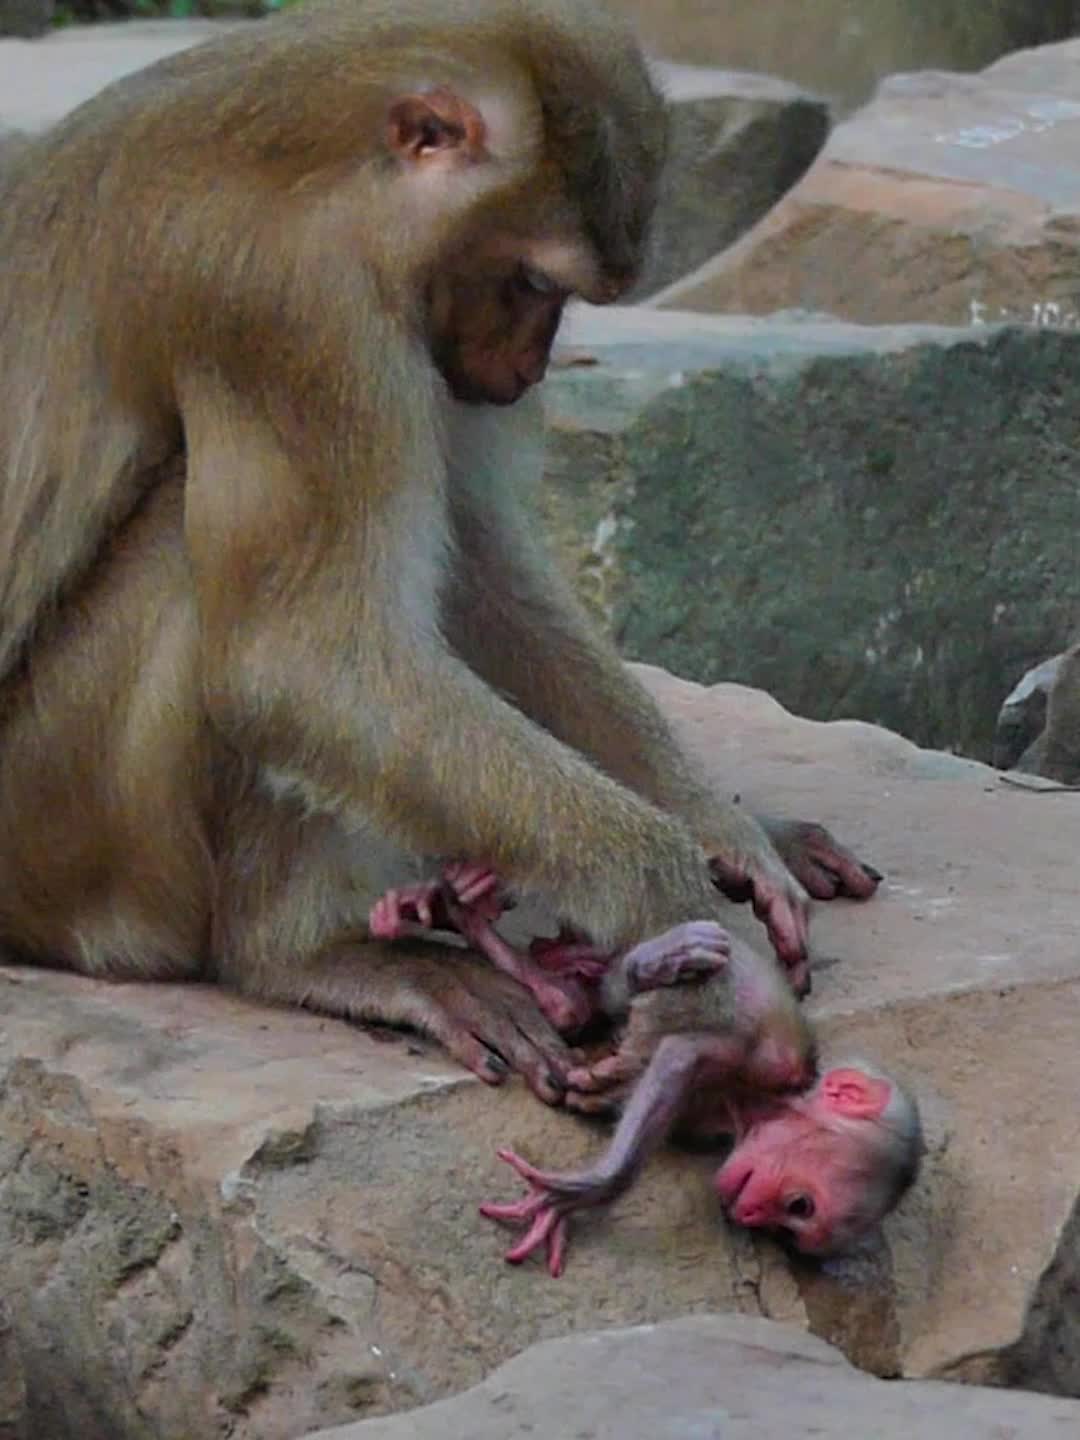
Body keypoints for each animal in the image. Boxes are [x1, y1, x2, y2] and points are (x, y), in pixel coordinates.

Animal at [0, 0, 880, 1097]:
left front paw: (723, 828)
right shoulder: (290, 314)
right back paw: (304, 953)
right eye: (530, 279)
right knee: (202, 573)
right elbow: (301, 663)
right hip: (70, 837)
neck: (338, 164)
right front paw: (688, 931)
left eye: (559, 295)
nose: (527, 368)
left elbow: (479, 573)